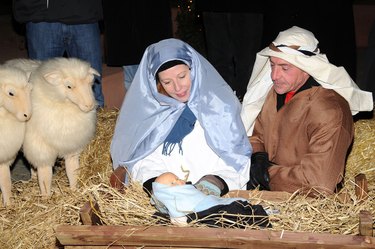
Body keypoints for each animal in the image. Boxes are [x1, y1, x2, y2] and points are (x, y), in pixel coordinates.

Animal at [19, 57, 99, 197]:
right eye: (69, 86)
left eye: (90, 83)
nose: (89, 105)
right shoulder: (41, 151)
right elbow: (45, 177)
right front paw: (46, 198)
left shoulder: (72, 148)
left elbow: (72, 171)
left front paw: (74, 191)